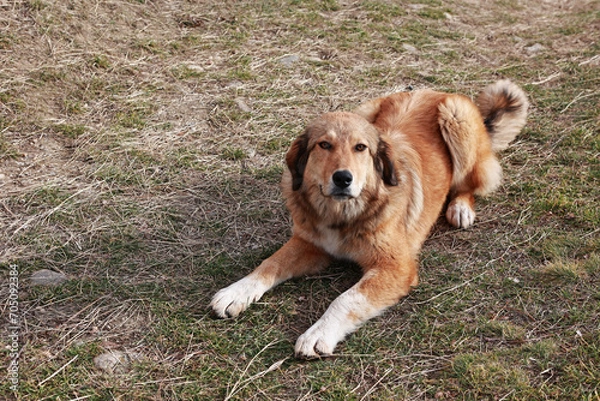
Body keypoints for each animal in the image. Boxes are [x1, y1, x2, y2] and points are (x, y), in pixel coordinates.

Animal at [209, 79, 528, 358]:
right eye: (324, 145)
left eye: (360, 148)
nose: (343, 178)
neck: (345, 214)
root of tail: (432, 91)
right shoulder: (310, 244)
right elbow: (270, 264)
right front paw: (237, 291)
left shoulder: (395, 267)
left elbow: (346, 298)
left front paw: (319, 333)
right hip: (367, 108)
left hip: (456, 117)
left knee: (469, 182)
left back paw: (461, 208)